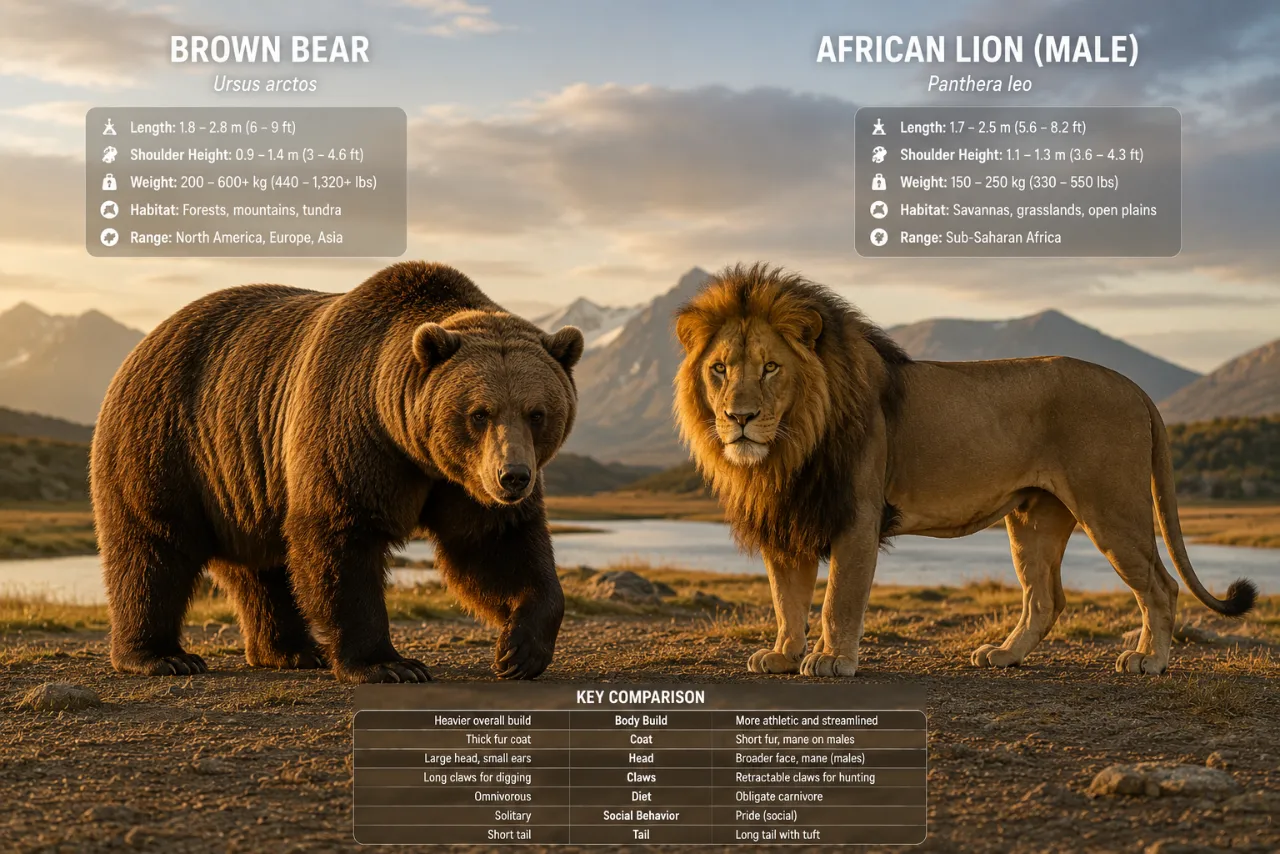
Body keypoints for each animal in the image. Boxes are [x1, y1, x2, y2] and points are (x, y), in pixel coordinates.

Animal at [90, 262, 584, 683]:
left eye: (537, 413)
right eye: (480, 413)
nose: (513, 476)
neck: (412, 446)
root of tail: (146, 342)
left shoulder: (461, 484)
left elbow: (497, 546)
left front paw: (518, 651)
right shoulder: (351, 430)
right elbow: (342, 540)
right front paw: (389, 664)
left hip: (244, 486)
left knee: (263, 568)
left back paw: (291, 651)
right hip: (168, 444)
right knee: (153, 548)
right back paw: (162, 656)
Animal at [673, 263, 1257, 678]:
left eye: (771, 367)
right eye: (719, 369)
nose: (740, 418)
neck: (788, 449)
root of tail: (1135, 388)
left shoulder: (856, 515)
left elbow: (839, 598)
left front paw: (833, 659)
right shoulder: (789, 515)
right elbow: (786, 599)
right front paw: (782, 655)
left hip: (1111, 507)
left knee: (1161, 584)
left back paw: (1149, 660)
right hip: (1034, 518)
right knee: (1045, 599)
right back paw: (1005, 655)